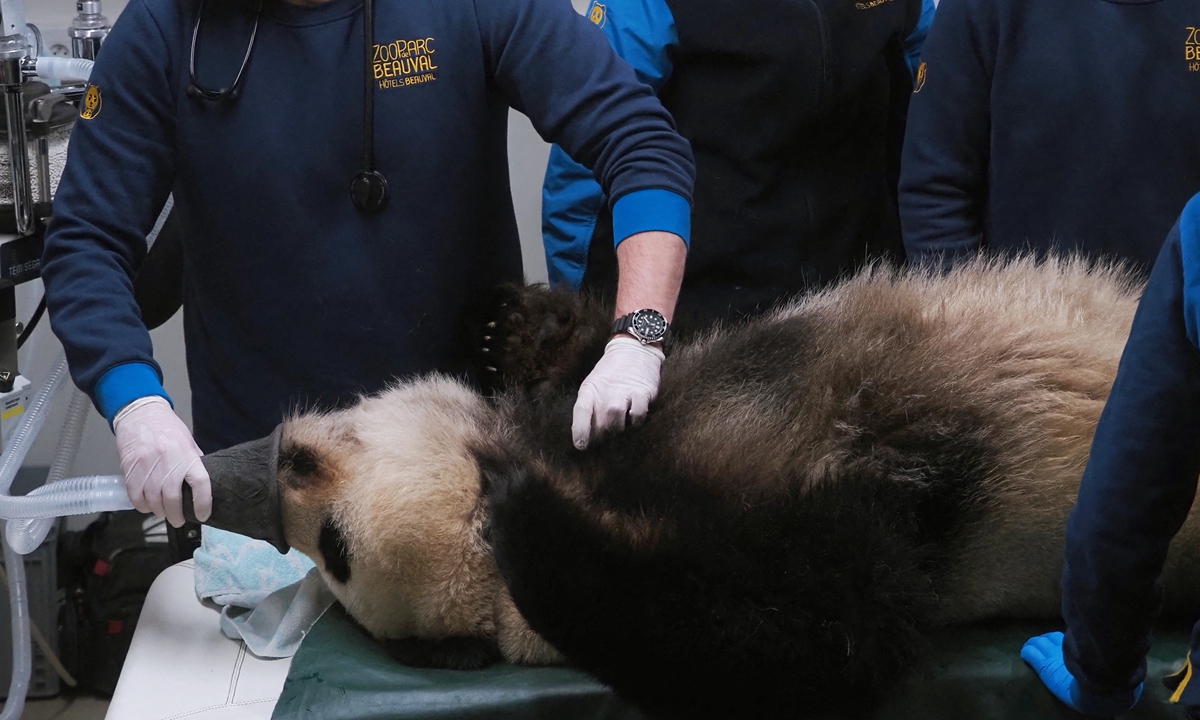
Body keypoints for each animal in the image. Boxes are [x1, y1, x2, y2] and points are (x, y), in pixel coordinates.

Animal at [267, 256, 1200, 720]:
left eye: (332, 549)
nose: (283, 459)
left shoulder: (616, 414)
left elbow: (600, 360)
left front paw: (500, 329)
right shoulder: (885, 533)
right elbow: (823, 630)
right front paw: (525, 517)